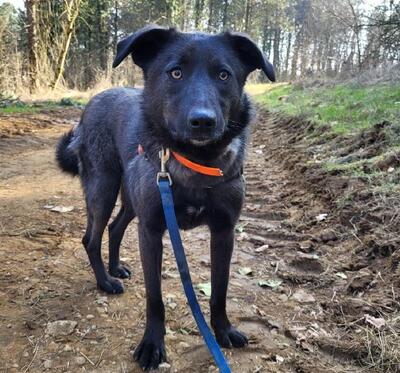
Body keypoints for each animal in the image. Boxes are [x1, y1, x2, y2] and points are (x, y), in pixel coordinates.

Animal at [56, 25, 276, 370]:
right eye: (175, 72)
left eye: (224, 75)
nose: (202, 121)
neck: (196, 161)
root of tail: (92, 102)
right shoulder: (151, 231)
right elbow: (154, 297)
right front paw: (152, 344)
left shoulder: (224, 232)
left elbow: (220, 289)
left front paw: (223, 331)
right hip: (103, 189)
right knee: (91, 238)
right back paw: (105, 282)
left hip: (130, 200)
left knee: (115, 228)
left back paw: (115, 268)